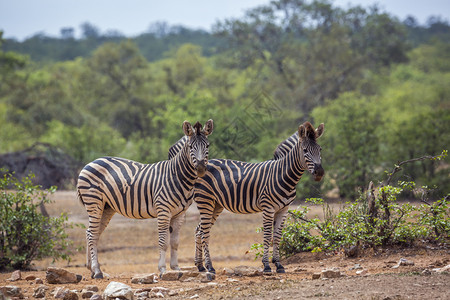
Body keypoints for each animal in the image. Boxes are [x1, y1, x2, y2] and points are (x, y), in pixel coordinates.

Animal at [77, 118, 214, 278]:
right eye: (191, 146)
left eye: (208, 145)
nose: (201, 169)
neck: (177, 176)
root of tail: (90, 163)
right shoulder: (163, 210)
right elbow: (163, 241)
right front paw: (162, 269)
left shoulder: (179, 214)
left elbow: (175, 242)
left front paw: (176, 268)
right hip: (94, 202)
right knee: (92, 234)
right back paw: (97, 271)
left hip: (106, 207)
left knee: (91, 233)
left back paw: (92, 269)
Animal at [169, 120, 324, 274]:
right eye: (305, 150)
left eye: (320, 149)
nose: (320, 172)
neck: (282, 175)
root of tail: (201, 167)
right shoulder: (268, 208)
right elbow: (267, 236)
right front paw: (266, 265)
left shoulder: (283, 209)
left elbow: (277, 236)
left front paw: (279, 265)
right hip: (205, 201)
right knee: (204, 233)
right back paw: (210, 267)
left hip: (216, 205)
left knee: (198, 231)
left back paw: (201, 266)